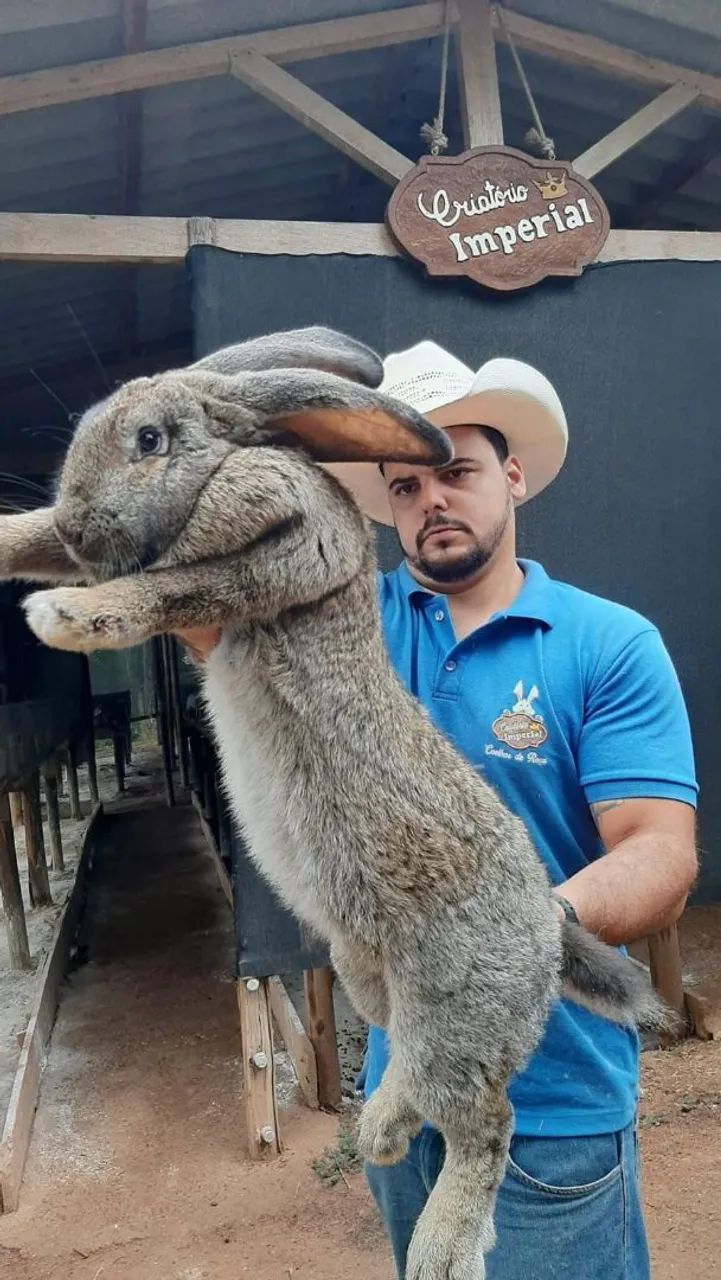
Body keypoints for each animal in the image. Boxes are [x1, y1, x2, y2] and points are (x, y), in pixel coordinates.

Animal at [0, 326, 669, 1280]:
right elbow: (47, 546)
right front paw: (25, 542)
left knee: (486, 1119)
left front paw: (64, 613)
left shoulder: (282, 548)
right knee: (420, 1075)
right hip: (371, 977)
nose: (81, 524)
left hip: (458, 1003)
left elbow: (174, 586)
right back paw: (382, 1128)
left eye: (150, 439)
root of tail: (544, 924)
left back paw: (438, 1242)